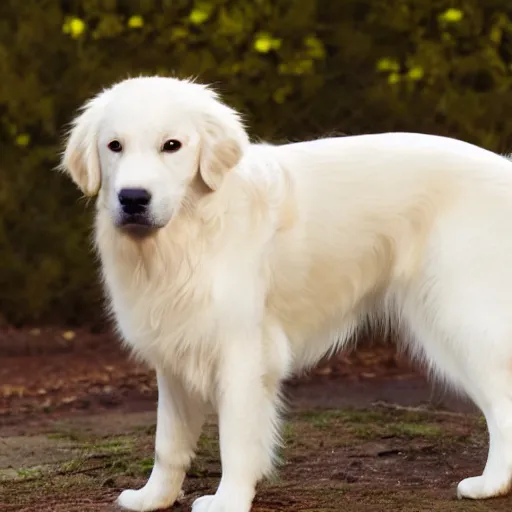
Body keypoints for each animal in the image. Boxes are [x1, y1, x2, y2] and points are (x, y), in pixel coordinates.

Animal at [62, 77, 512, 512]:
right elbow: (168, 443)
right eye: (114, 146)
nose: (133, 198)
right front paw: (153, 498)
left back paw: (489, 485)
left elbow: (235, 440)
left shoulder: (241, 352)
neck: (189, 235)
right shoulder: (175, 350)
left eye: (172, 145)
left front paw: (228, 500)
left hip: (461, 321)